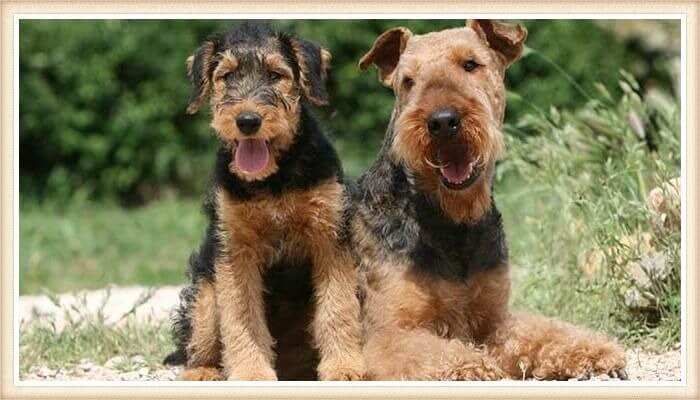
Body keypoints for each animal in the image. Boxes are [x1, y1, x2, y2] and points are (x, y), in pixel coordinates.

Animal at [163, 24, 360, 382]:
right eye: (226, 76)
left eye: (275, 74)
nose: (247, 120)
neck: (273, 181)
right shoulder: (236, 250)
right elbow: (242, 318)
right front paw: (251, 373)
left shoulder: (329, 236)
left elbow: (338, 307)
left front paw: (345, 367)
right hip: (205, 294)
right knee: (196, 343)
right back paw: (203, 371)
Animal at [352, 19, 628, 382]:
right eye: (408, 81)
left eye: (470, 64)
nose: (442, 121)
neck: (453, 222)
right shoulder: (390, 335)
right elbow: (443, 356)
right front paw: (476, 368)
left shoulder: (492, 321)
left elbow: (544, 332)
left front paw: (596, 351)